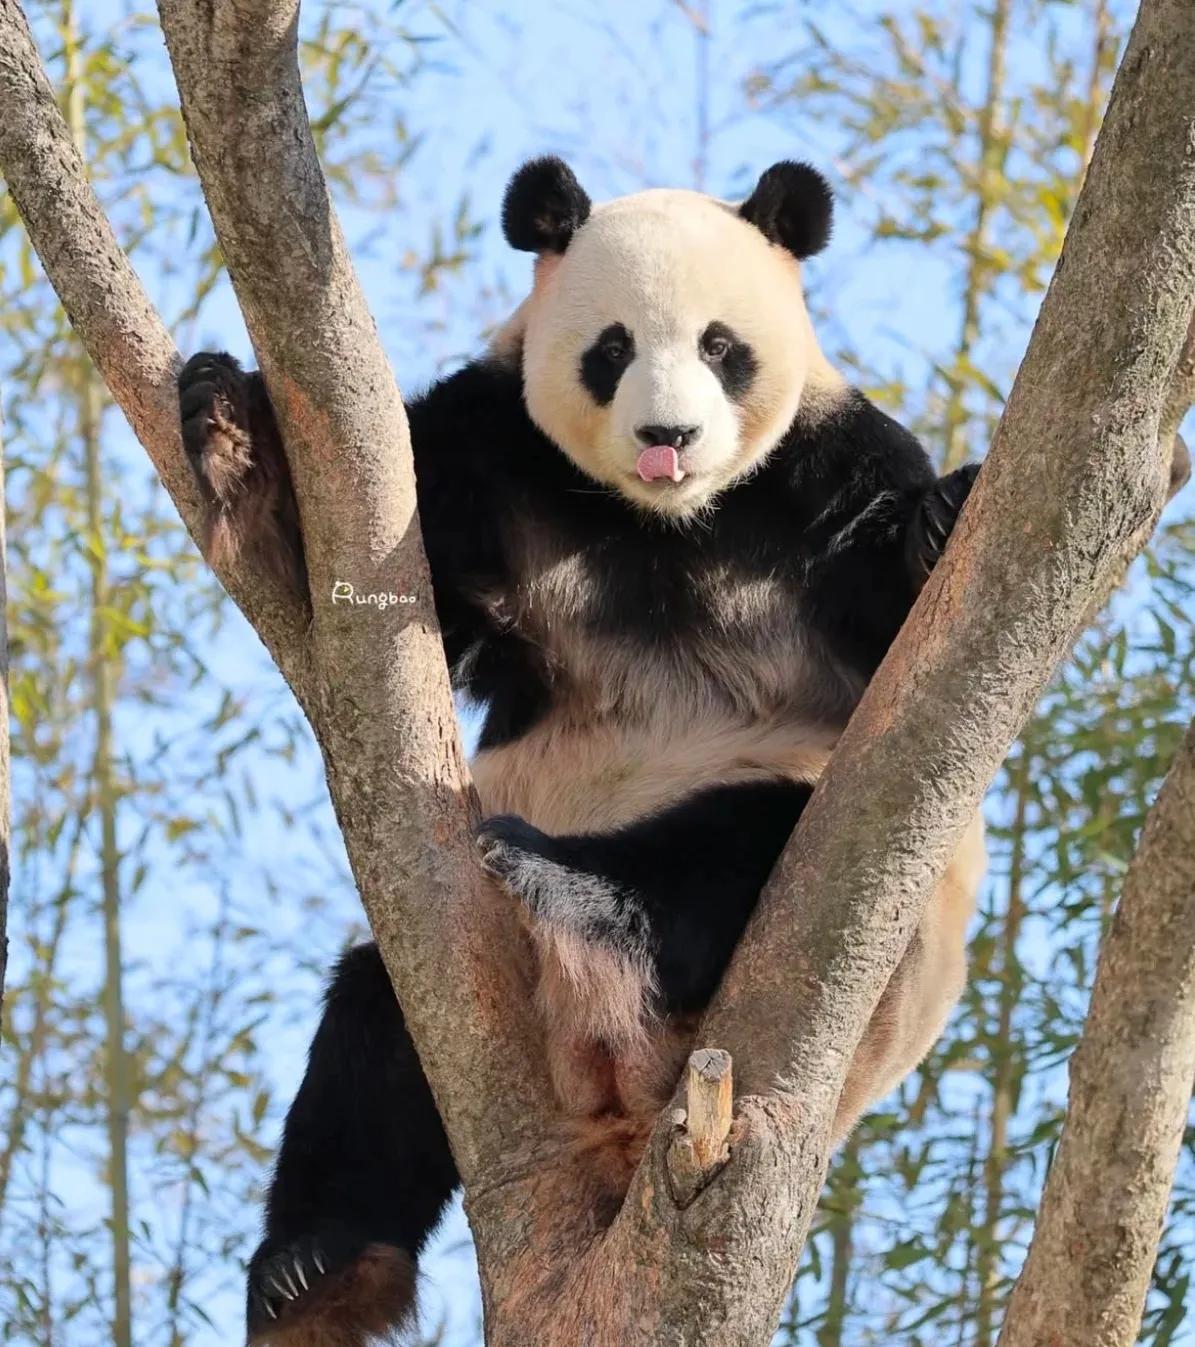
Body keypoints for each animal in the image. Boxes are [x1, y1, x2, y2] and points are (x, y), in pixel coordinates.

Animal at [175, 160, 980, 1347]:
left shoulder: (822, 473)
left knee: (750, 845)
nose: (668, 437)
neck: (664, 523)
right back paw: (314, 1268)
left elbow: (906, 634)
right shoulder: (494, 461)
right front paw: (228, 419)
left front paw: (941, 520)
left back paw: (580, 892)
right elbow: (366, 591)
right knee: (371, 1042)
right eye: (611, 348)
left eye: (721, 346)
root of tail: (627, 1106)